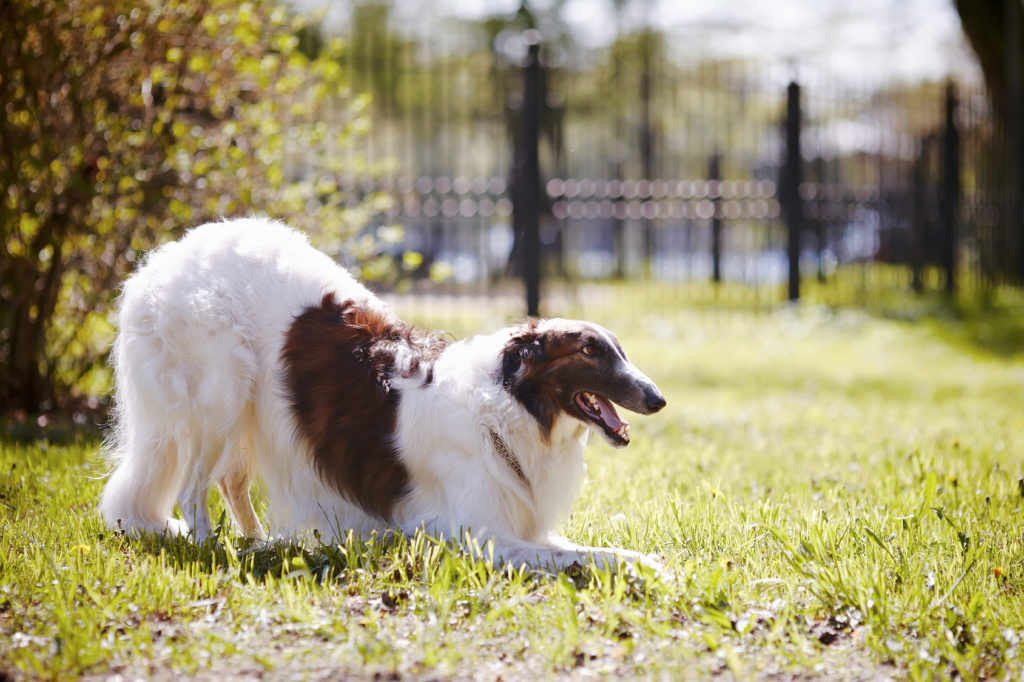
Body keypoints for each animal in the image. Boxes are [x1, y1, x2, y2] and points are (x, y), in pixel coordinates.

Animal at [99, 218, 667, 569]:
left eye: (618, 349)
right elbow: (583, 556)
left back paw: (259, 542)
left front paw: (645, 562)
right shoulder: (480, 534)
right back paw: (217, 548)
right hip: (221, 393)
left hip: (247, 409)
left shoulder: (521, 525)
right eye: (591, 351)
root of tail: (163, 258)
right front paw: (647, 569)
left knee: (230, 480)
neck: (505, 407)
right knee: (194, 489)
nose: (657, 399)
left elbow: (597, 551)